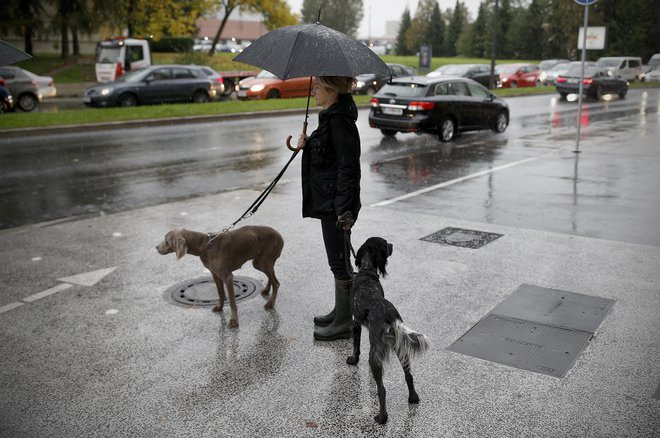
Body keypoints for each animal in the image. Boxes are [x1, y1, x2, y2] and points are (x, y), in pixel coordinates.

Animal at [346, 236, 434, 424]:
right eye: (386, 244)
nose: (392, 244)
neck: (366, 271)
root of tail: (390, 314)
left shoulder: (356, 323)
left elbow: (356, 346)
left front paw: (353, 359)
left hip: (378, 351)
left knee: (382, 389)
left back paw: (382, 417)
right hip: (399, 344)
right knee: (409, 375)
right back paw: (413, 398)